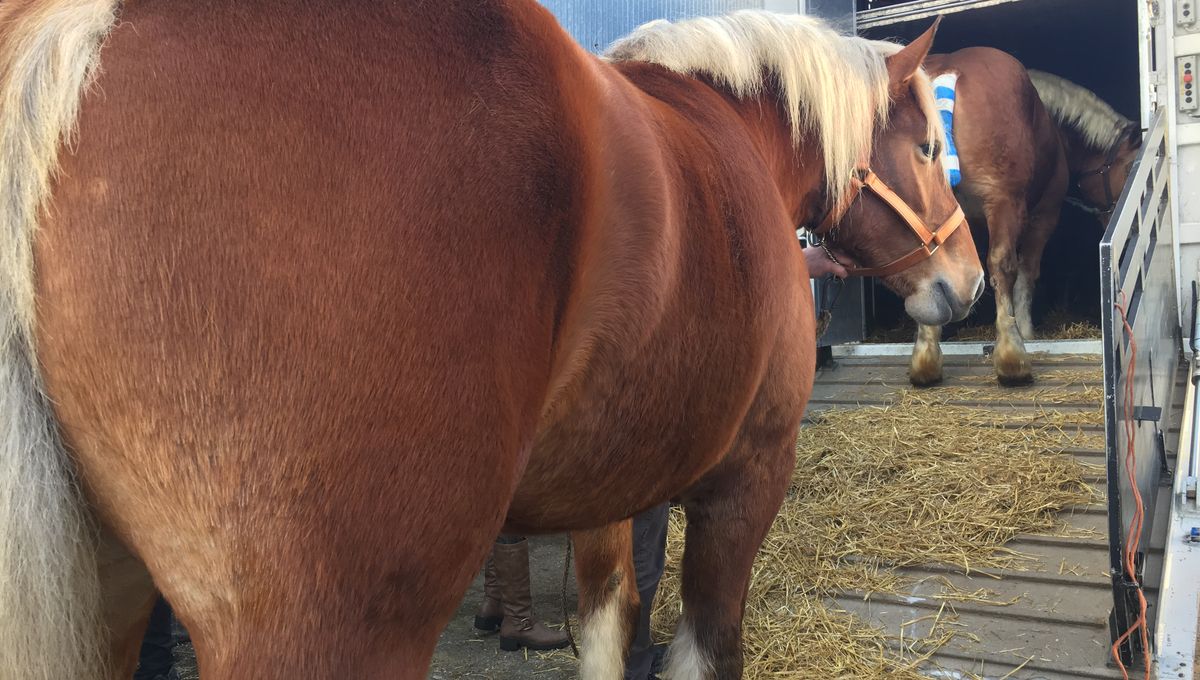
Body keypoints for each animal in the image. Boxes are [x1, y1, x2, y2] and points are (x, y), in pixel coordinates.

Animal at [0, 2, 982, 679]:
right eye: (930, 147)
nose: (967, 282)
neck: (727, 134)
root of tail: (85, 26)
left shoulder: (608, 488)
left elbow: (608, 627)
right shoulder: (746, 478)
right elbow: (702, 645)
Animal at [903, 48, 1140, 387]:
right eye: (1129, 167)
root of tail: (945, 73)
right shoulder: (1044, 215)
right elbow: (1027, 271)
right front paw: (1026, 328)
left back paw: (926, 358)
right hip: (1005, 203)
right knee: (1003, 266)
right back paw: (1012, 357)